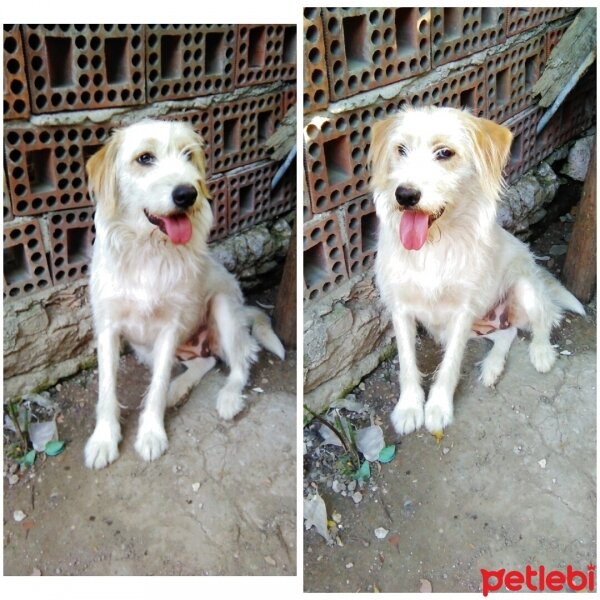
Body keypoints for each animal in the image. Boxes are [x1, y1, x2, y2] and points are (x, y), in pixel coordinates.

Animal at [82, 120, 286, 468]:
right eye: (145, 158)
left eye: (188, 155)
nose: (187, 194)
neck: (148, 250)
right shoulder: (108, 328)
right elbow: (108, 389)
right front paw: (104, 439)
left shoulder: (168, 328)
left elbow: (157, 385)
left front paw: (151, 434)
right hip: (144, 347)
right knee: (203, 363)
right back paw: (178, 389)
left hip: (222, 308)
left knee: (242, 358)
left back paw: (227, 396)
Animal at [368, 106, 584, 436]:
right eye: (400, 150)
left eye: (445, 153)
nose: (404, 195)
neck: (432, 246)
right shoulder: (401, 308)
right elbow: (406, 363)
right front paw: (409, 408)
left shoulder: (461, 312)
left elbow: (450, 366)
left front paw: (438, 408)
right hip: (475, 324)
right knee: (506, 334)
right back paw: (493, 366)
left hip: (525, 289)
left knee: (545, 319)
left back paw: (542, 352)